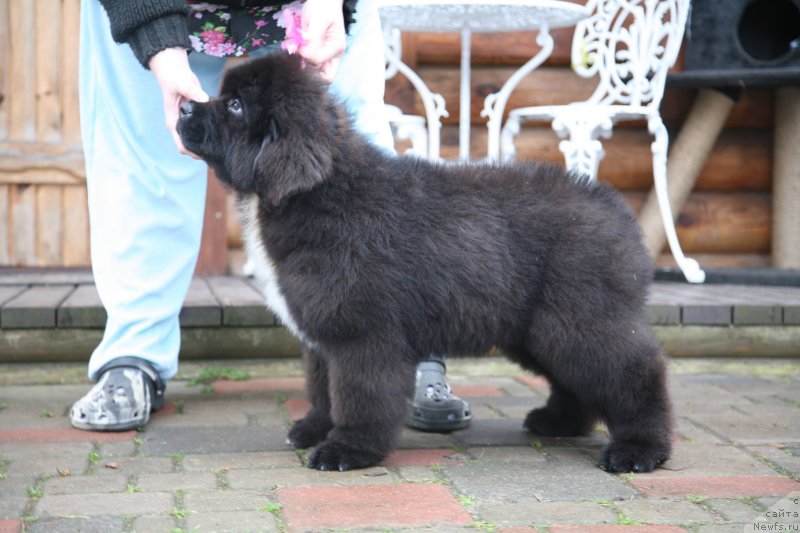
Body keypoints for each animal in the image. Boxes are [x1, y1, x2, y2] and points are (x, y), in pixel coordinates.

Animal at [178, 53, 672, 470]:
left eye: (235, 105)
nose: (182, 107)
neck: (321, 192)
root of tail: (611, 205)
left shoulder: (363, 333)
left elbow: (358, 394)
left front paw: (348, 449)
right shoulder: (322, 331)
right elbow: (322, 389)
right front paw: (315, 428)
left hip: (579, 320)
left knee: (635, 373)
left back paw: (639, 449)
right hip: (536, 329)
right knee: (577, 381)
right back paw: (559, 422)